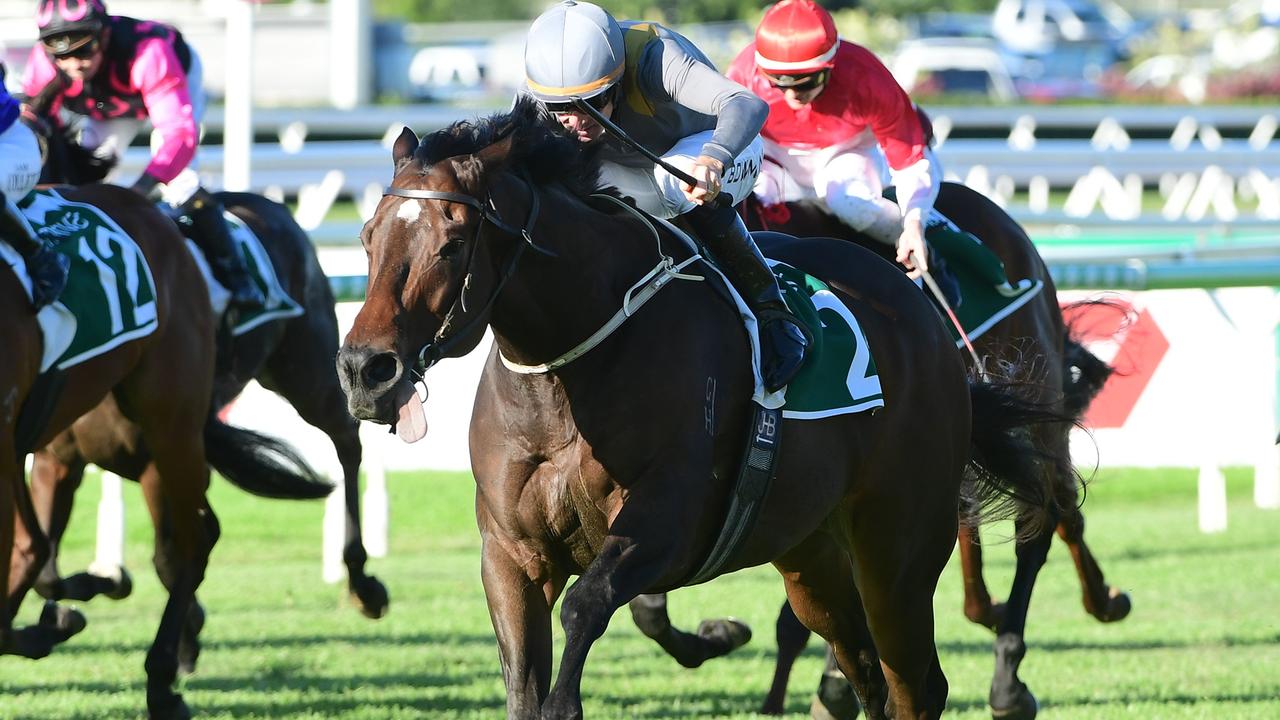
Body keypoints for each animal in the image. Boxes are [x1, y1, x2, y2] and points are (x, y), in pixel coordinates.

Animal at [337, 98, 1070, 712]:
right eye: (369, 235)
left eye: (453, 241)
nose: (365, 371)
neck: (570, 372)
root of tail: (917, 304)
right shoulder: (511, 556)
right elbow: (527, 674)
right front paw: (715, 635)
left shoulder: (667, 522)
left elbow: (590, 608)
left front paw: (708, 636)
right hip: (812, 554)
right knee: (865, 673)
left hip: (898, 548)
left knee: (920, 677)